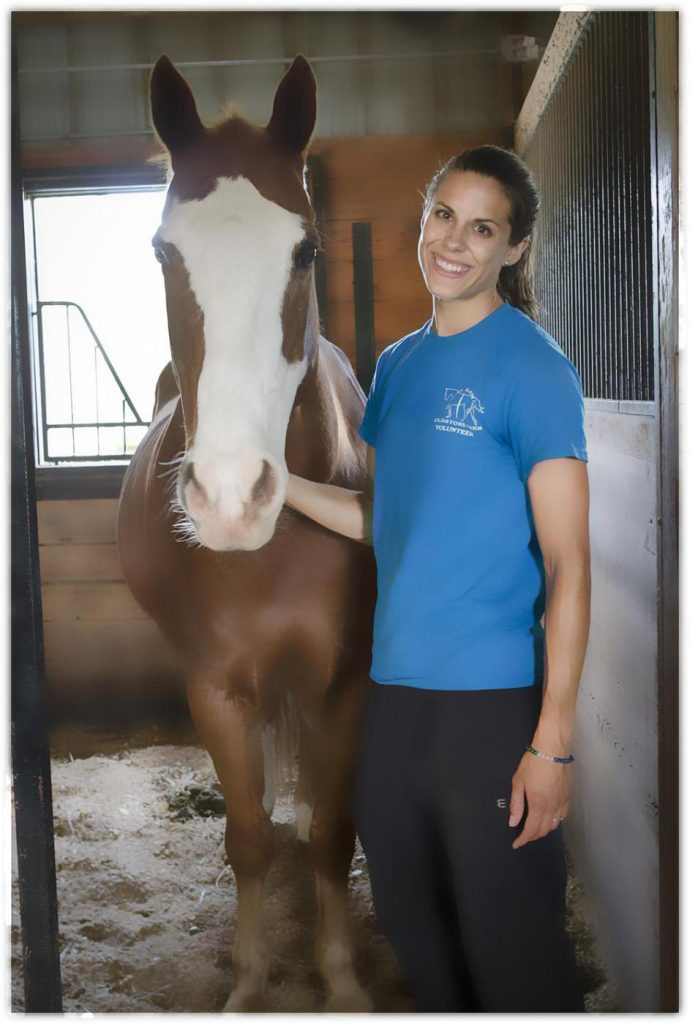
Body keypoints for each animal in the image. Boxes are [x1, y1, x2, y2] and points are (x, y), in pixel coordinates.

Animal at [116, 54, 376, 1007]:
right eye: (163, 252)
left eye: (305, 250)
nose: (231, 499)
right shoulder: (215, 692)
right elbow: (247, 838)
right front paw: (253, 978)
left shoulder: (342, 687)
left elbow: (335, 831)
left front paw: (340, 980)